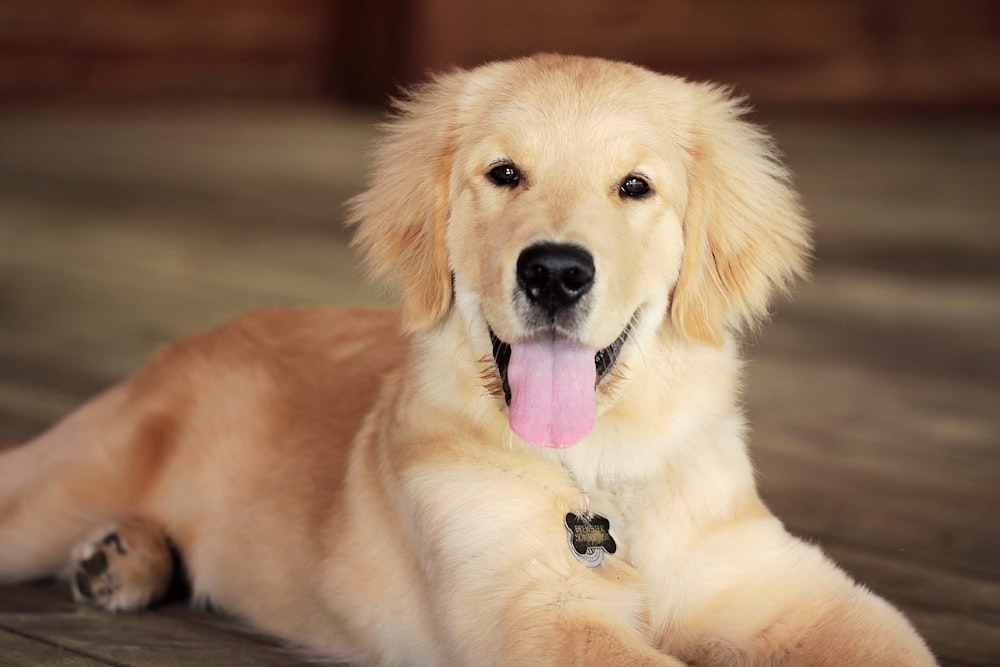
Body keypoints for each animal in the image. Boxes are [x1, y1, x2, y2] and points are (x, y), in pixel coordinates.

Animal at [0, 54, 936, 664]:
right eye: (504, 174)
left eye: (635, 186)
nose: (554, 271)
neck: (597, 473)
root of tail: (195, 338)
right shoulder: (540, 616)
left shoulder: (781, 588)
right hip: (53, 490)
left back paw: (120, 556)